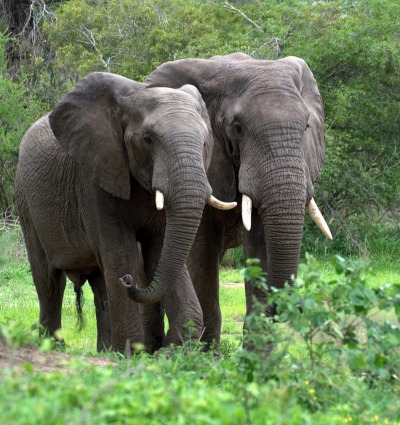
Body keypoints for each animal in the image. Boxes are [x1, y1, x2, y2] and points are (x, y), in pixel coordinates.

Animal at [14, 72, 234, 352]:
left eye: (205, 142)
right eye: (147, 139)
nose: (129, 280)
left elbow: (160, 252)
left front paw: (171, 351)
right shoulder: (95, 178)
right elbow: (119, 253)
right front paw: (131, 355)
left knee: (99, 284)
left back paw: (104, 351)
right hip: (26, 201)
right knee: (49, 281)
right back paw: (54, 348)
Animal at [134, 53, 332, 352]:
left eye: (307, 125)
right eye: (237, 128)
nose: (296, 305)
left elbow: (260, 242)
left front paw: (257, 357)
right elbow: (201, 251)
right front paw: (206, 359)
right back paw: (146, 350)